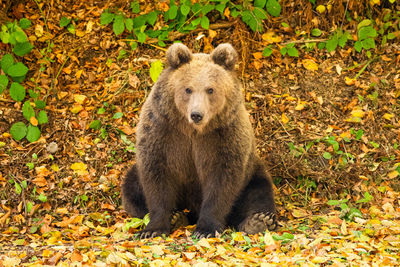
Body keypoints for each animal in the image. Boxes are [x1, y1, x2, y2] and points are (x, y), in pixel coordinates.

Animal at [122, 43, 278, 240]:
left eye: (210, 89)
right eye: (188, 89)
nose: (197, 114)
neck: (193, 130)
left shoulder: (224, 135)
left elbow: (222, 180)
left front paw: (205, 229)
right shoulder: (162, 130)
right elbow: (156, 175)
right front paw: (153, 229)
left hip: (251, 172)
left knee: (259, 190)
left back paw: (259, 221)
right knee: (131, 187)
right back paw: (177, 217)